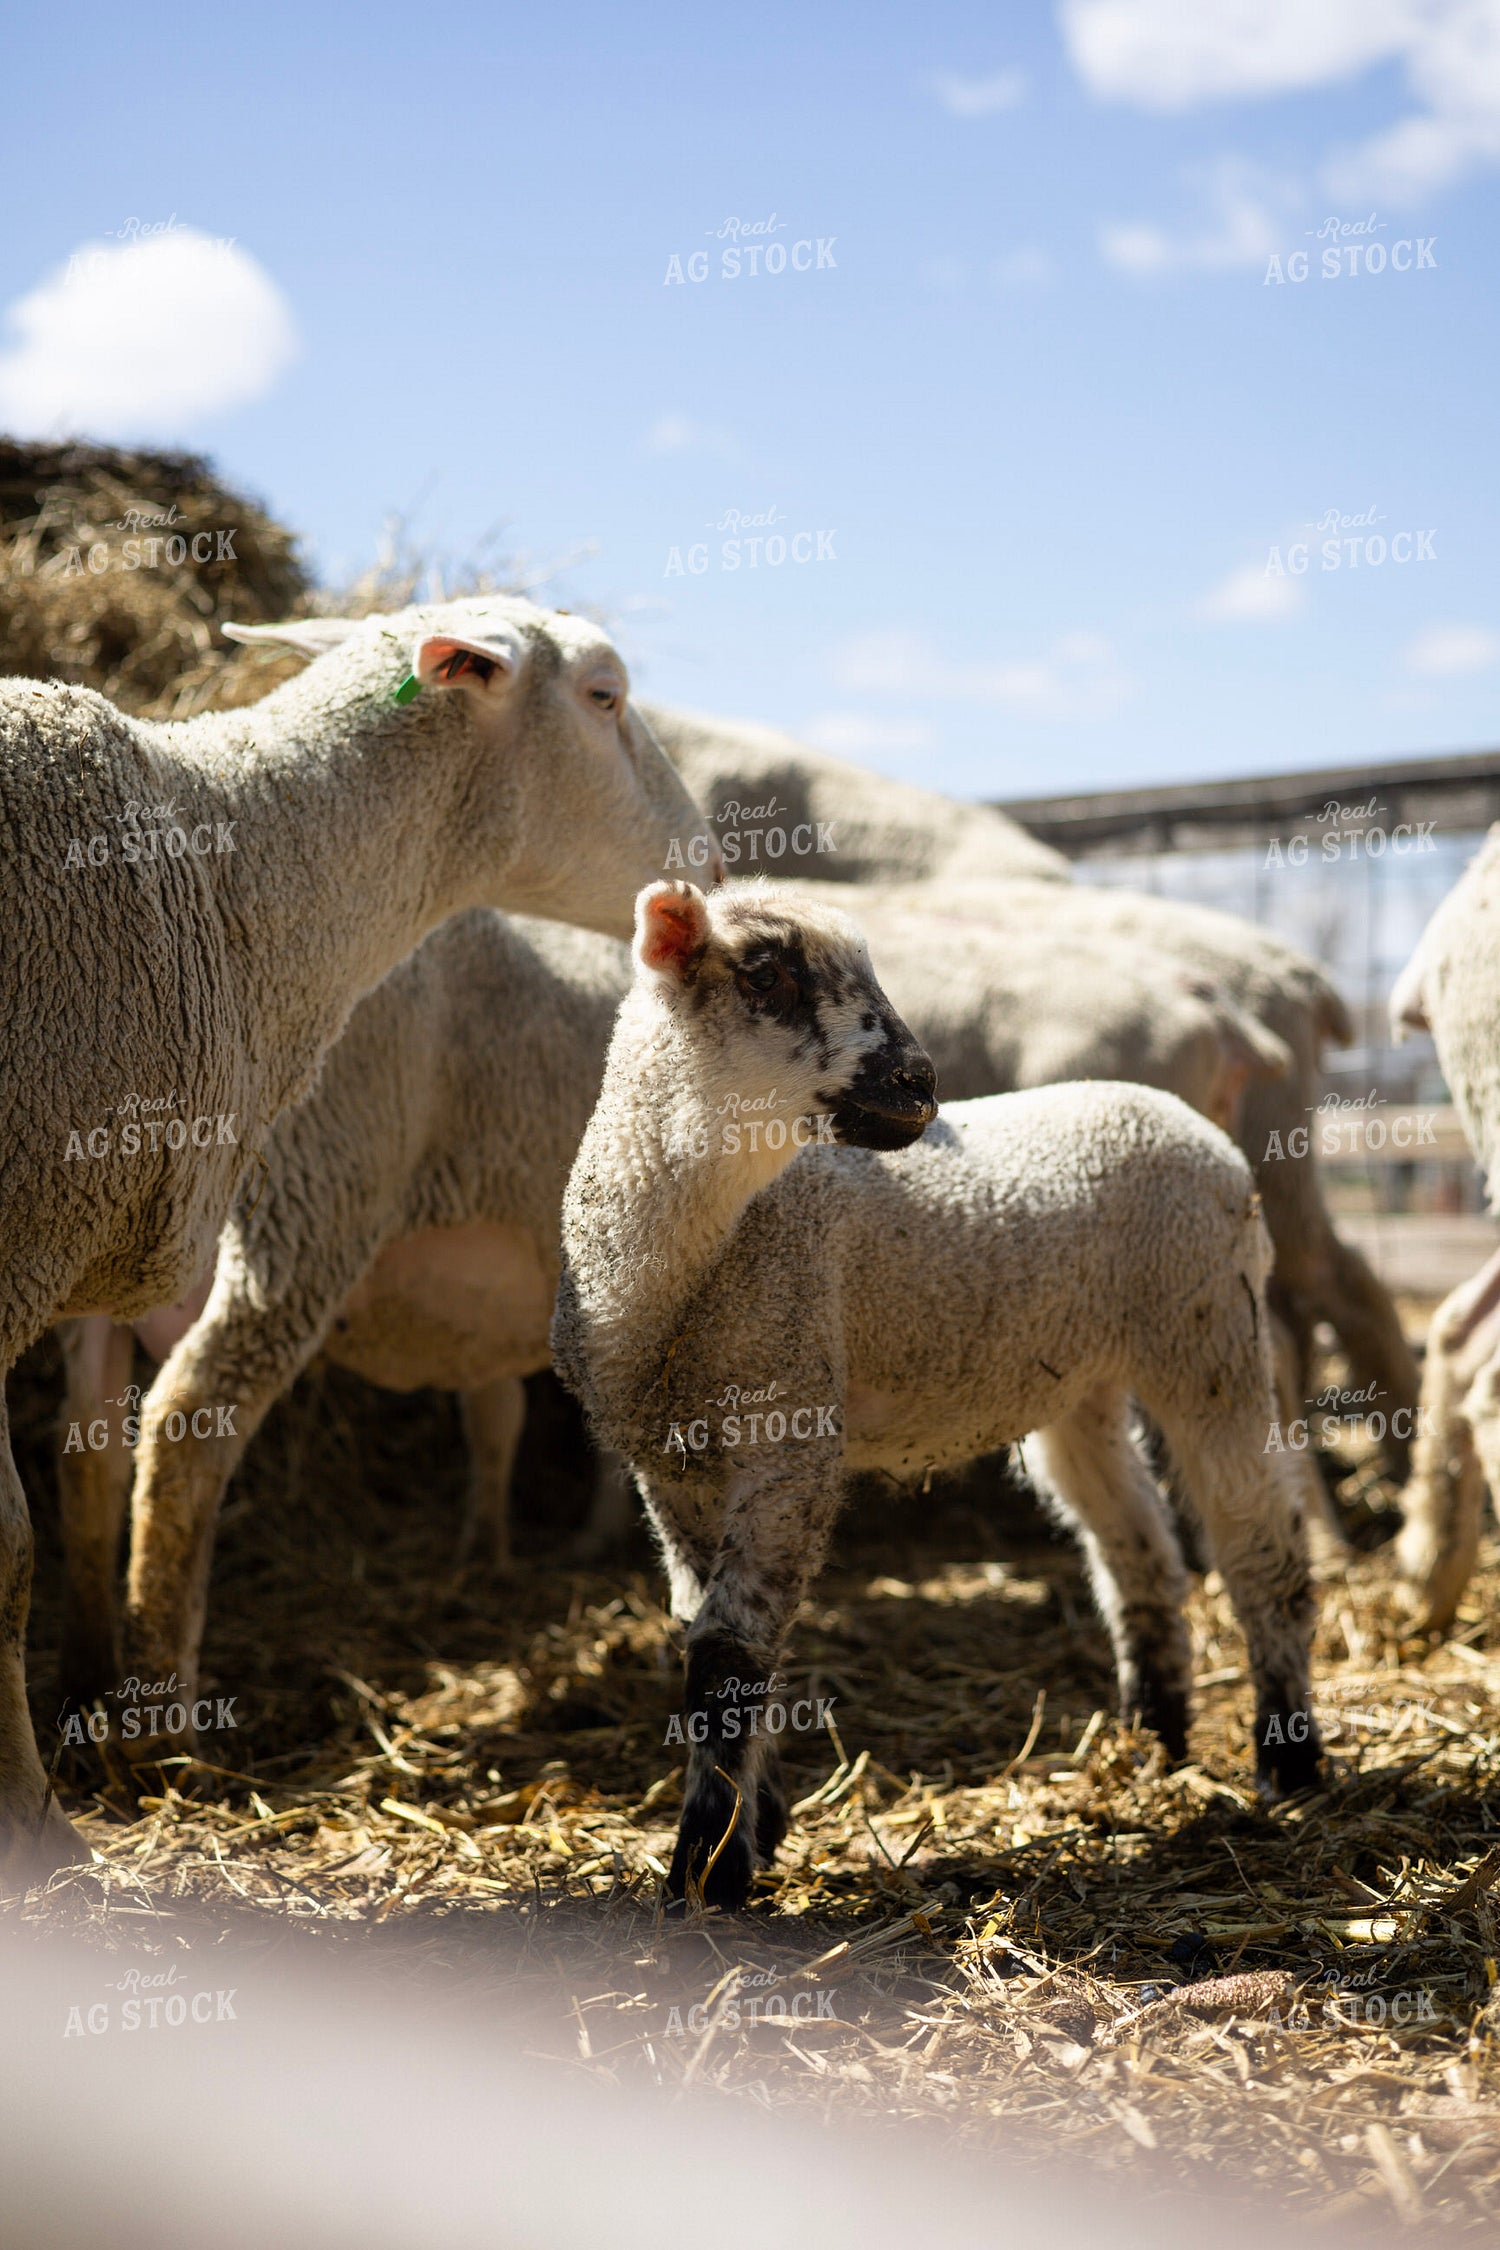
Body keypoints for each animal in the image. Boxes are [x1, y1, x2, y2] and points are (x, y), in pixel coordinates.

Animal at [56, 911, 630, 1736]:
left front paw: (487, 1550)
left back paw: (87, 1674)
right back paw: (164, 1727)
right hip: (309, 1200)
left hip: (118, 1249)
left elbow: (497, 1417)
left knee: (86, 1455)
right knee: (187, 1424)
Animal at [553, 879, 1323, 1908]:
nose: (918, 1081)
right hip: (1078, 1381)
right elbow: (707, 1636)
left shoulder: (790, 1436)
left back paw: (1291, 1761)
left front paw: (708, 1871)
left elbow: (727, 1654)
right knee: (1139, 1549)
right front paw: (756, 1824)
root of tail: (1183, 1116)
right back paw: (1153, 1738)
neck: (679, 1274)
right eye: (767, 974)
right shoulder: (670, 1466)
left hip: (1209, 1330)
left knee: (1257, 1543)